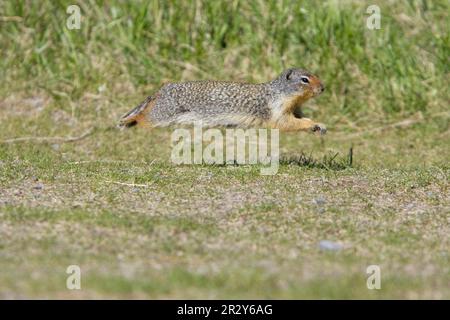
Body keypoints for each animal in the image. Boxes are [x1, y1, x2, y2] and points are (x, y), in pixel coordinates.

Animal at [119, 68, 326, 134]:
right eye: (304, 79)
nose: (323, 88)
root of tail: (162, 89)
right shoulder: (276, 111)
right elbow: (286, 123)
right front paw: (312, 125)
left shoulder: (294, 109)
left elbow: (301, 119)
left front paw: (319, 125)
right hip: (160, 114)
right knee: (143, 118)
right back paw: (129, 120)